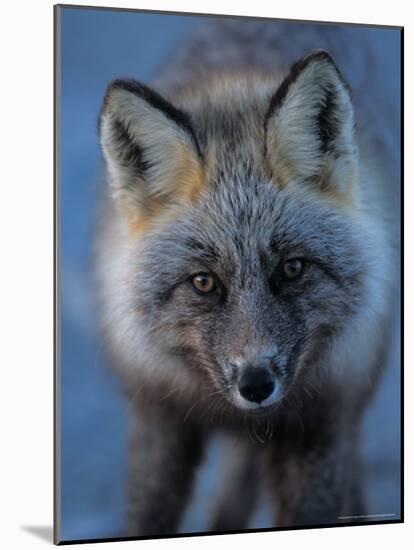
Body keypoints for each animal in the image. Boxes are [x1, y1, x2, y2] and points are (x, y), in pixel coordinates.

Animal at [95, 18, 400, 540]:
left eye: (292, 268)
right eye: (203, 282)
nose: (255, 384)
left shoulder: (322, 424)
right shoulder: (158, 416)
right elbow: (147, 515)